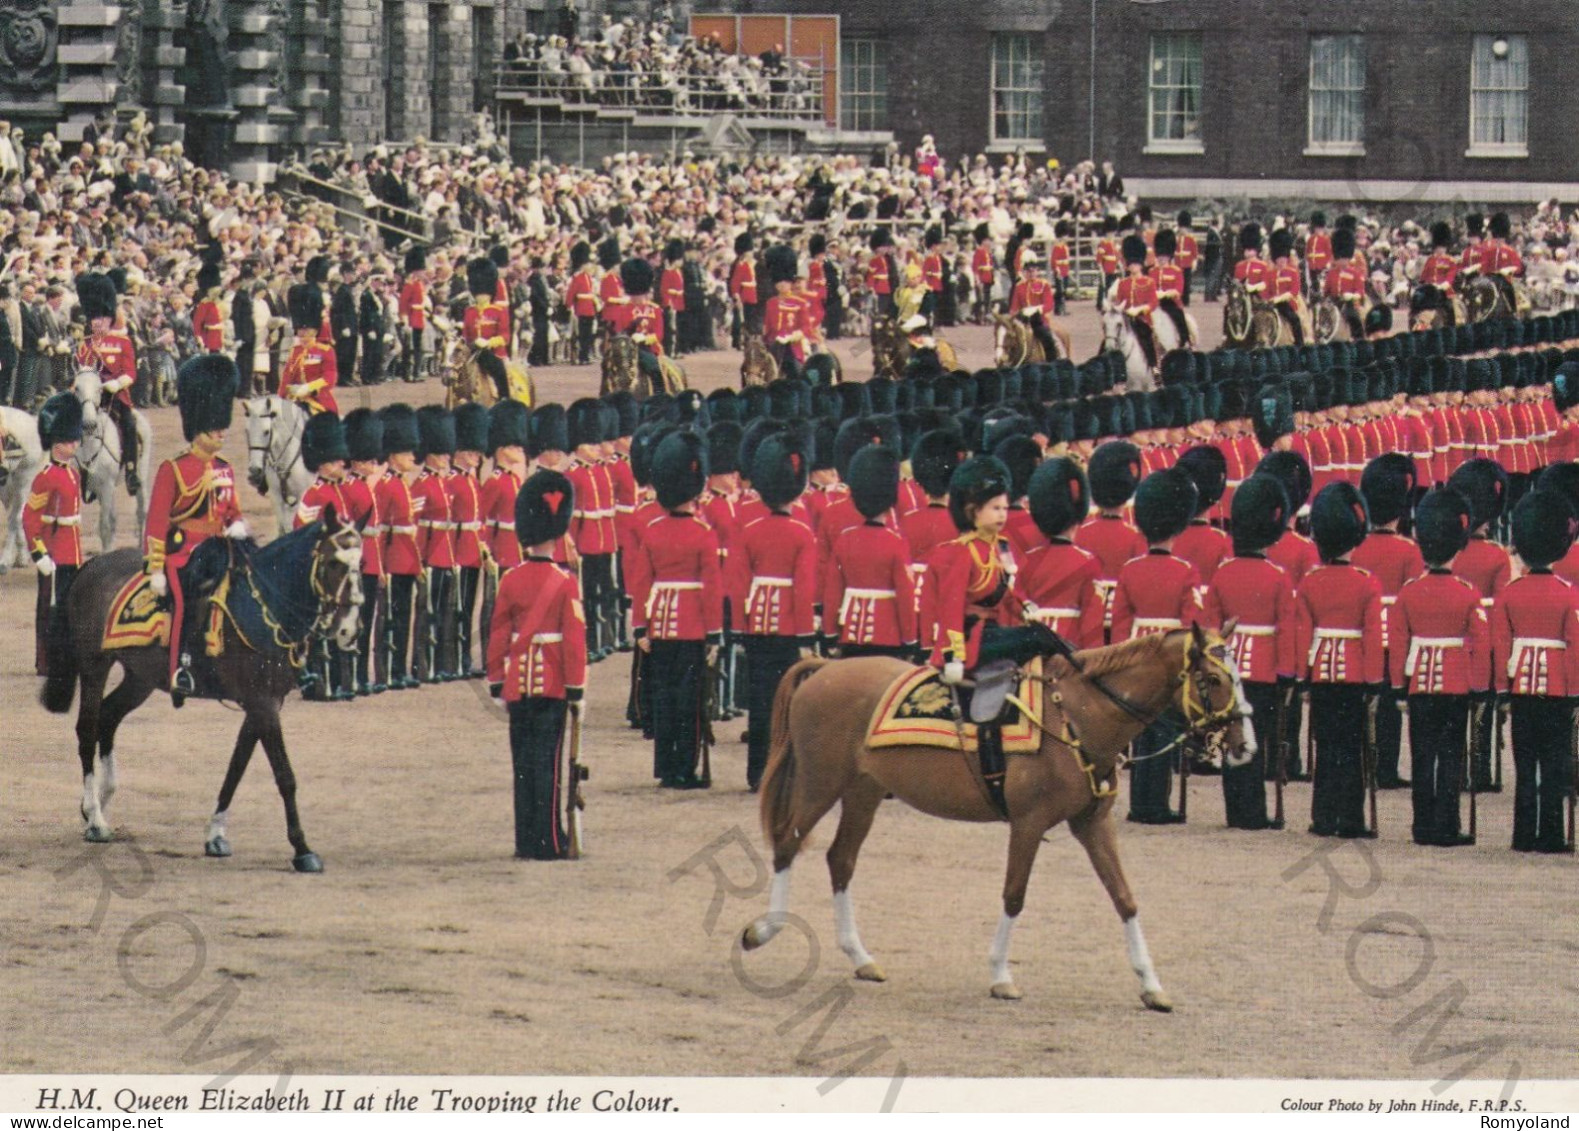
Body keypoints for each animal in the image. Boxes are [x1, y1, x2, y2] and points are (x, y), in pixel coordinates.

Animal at [39, 511, 363, 871]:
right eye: (334, 562)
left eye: (361, 563)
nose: (349, 630)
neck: (265, 607)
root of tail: (92, 564)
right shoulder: (262, 702)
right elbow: (284, 775)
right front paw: (302, 848)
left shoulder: (263, 703)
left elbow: (236, 766)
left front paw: (216, 834)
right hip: (95, 666)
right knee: (87, 728)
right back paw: (96, 818)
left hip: (142, 677)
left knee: (108, 718)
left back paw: (98, 799)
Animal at [72, 369, 153, 556]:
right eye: (77, 388)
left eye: (99, 389)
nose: (88, 424)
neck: (90, 443)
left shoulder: (106, 486)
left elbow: (105, 526)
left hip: (140, 476)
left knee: (141, 512)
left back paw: (141, 547)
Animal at [243, 394, 311, 537]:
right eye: (246, 431)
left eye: (266, 432)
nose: (254, 470)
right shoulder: (276, 496)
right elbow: (283, 528)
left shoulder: (302, 496)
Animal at [742, 628, 1256, 1004]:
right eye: (1213, 679)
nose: (1246, 746)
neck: (1078, 715)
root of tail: (827, 667)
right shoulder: (1028, 823)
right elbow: (1014, 895)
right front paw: (1000, 975)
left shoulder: (1093, 824)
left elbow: (1125, 898)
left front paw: (1151, 985)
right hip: (821, 784)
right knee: (788, 844)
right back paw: (765, 930)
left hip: (863, 791)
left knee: (840, 860)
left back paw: (860, 957)